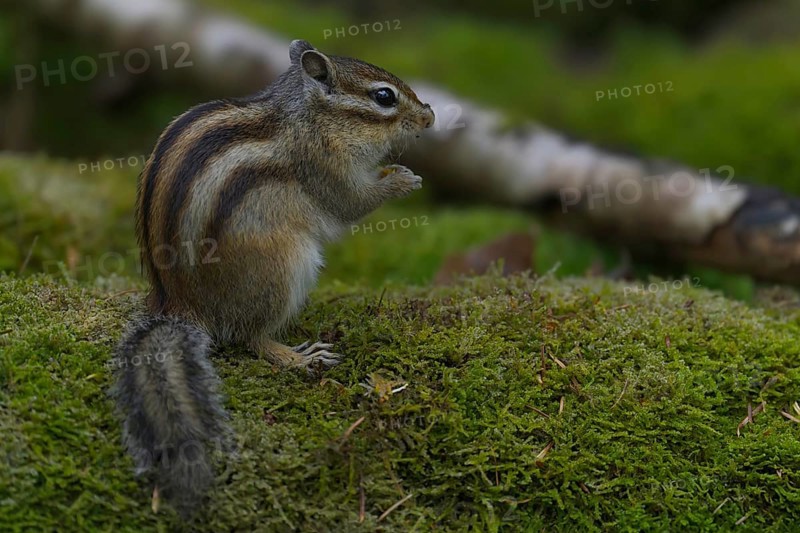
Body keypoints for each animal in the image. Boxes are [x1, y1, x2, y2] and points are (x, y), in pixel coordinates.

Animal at [111, 39, 434, 516]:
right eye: (384, 97)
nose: (430, 117)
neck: (310, 118)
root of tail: (179, 305)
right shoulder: (324, 165)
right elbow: (352, 202)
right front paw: (402, 180)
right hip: (285, 266)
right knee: (249, 336)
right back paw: (297, 358)